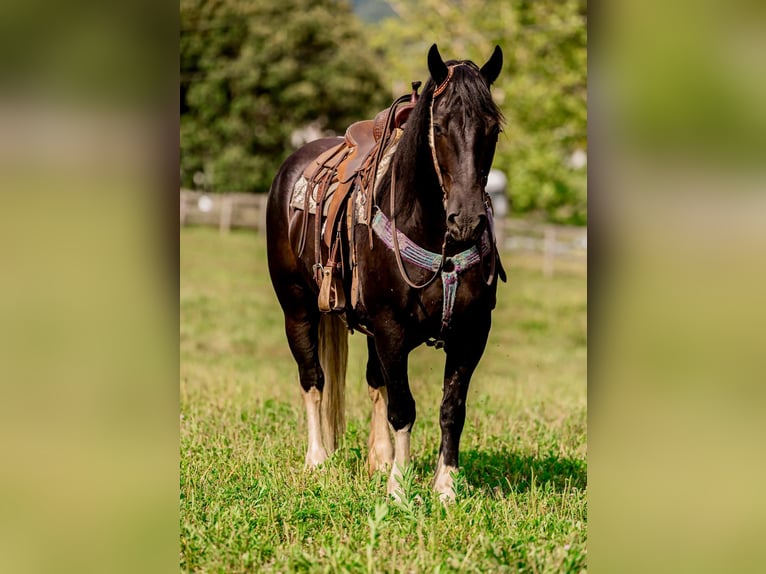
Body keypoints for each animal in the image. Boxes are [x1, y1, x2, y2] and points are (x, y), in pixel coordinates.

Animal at [268, 45, 508, 502]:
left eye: (493, 127)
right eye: (439, 125)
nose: (467, 220)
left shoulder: (472, 333)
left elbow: (451, 410)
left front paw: (444, 488)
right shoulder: (392, 329)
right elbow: (403, 407)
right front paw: (398, 487)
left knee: (373, 381)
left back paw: (377, 461)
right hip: (296, 308)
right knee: (313, 379)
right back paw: (318, 461)